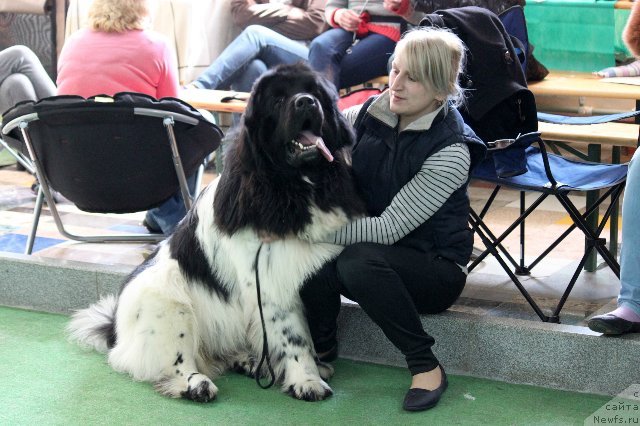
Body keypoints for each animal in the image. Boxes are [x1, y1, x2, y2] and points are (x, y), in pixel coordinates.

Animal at [69, 63, 364, 402]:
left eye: (314, 92)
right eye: (277, 101)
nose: (306, 102)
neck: (289, 184)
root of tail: (115, 329)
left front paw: (312, 367)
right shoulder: (270, 283)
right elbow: (294, 336)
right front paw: (307, 379)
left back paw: (246, 361)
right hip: (167, 299)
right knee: (170, 358)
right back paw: (195, 383)